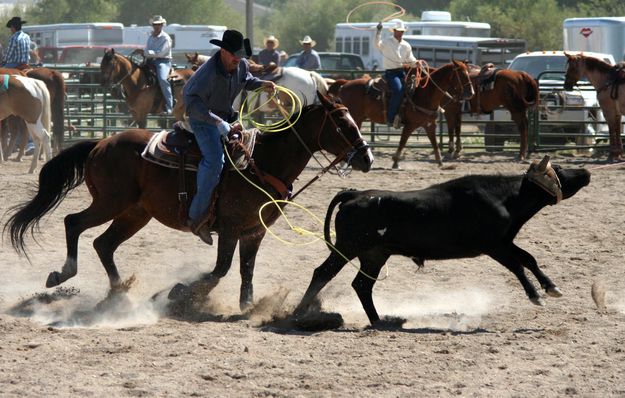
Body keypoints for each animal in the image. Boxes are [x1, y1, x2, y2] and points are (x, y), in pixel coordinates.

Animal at [7, 92, 372, 310]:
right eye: (341, 124)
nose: (366, 158)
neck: (262, 162)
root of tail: (100, 143)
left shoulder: (254, 231)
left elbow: (247, 270)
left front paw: (248, 306)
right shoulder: (230, 228)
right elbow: (221, 269)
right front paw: (181, 293)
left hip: (135, 213)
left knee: (103, 244)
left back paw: (119, 292)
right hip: (111, 202)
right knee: (74, 223)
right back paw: (64, 274)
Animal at [330, 60, 470, 168]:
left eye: (468, 74)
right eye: (462, 75)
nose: (471, 92)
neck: (424, 94)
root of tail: (345, 84)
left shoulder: (429, 124)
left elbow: (434, 142)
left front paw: (440, 162)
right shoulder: (410, 125)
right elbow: (403, 141)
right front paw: (395, 161)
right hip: (355, 119)